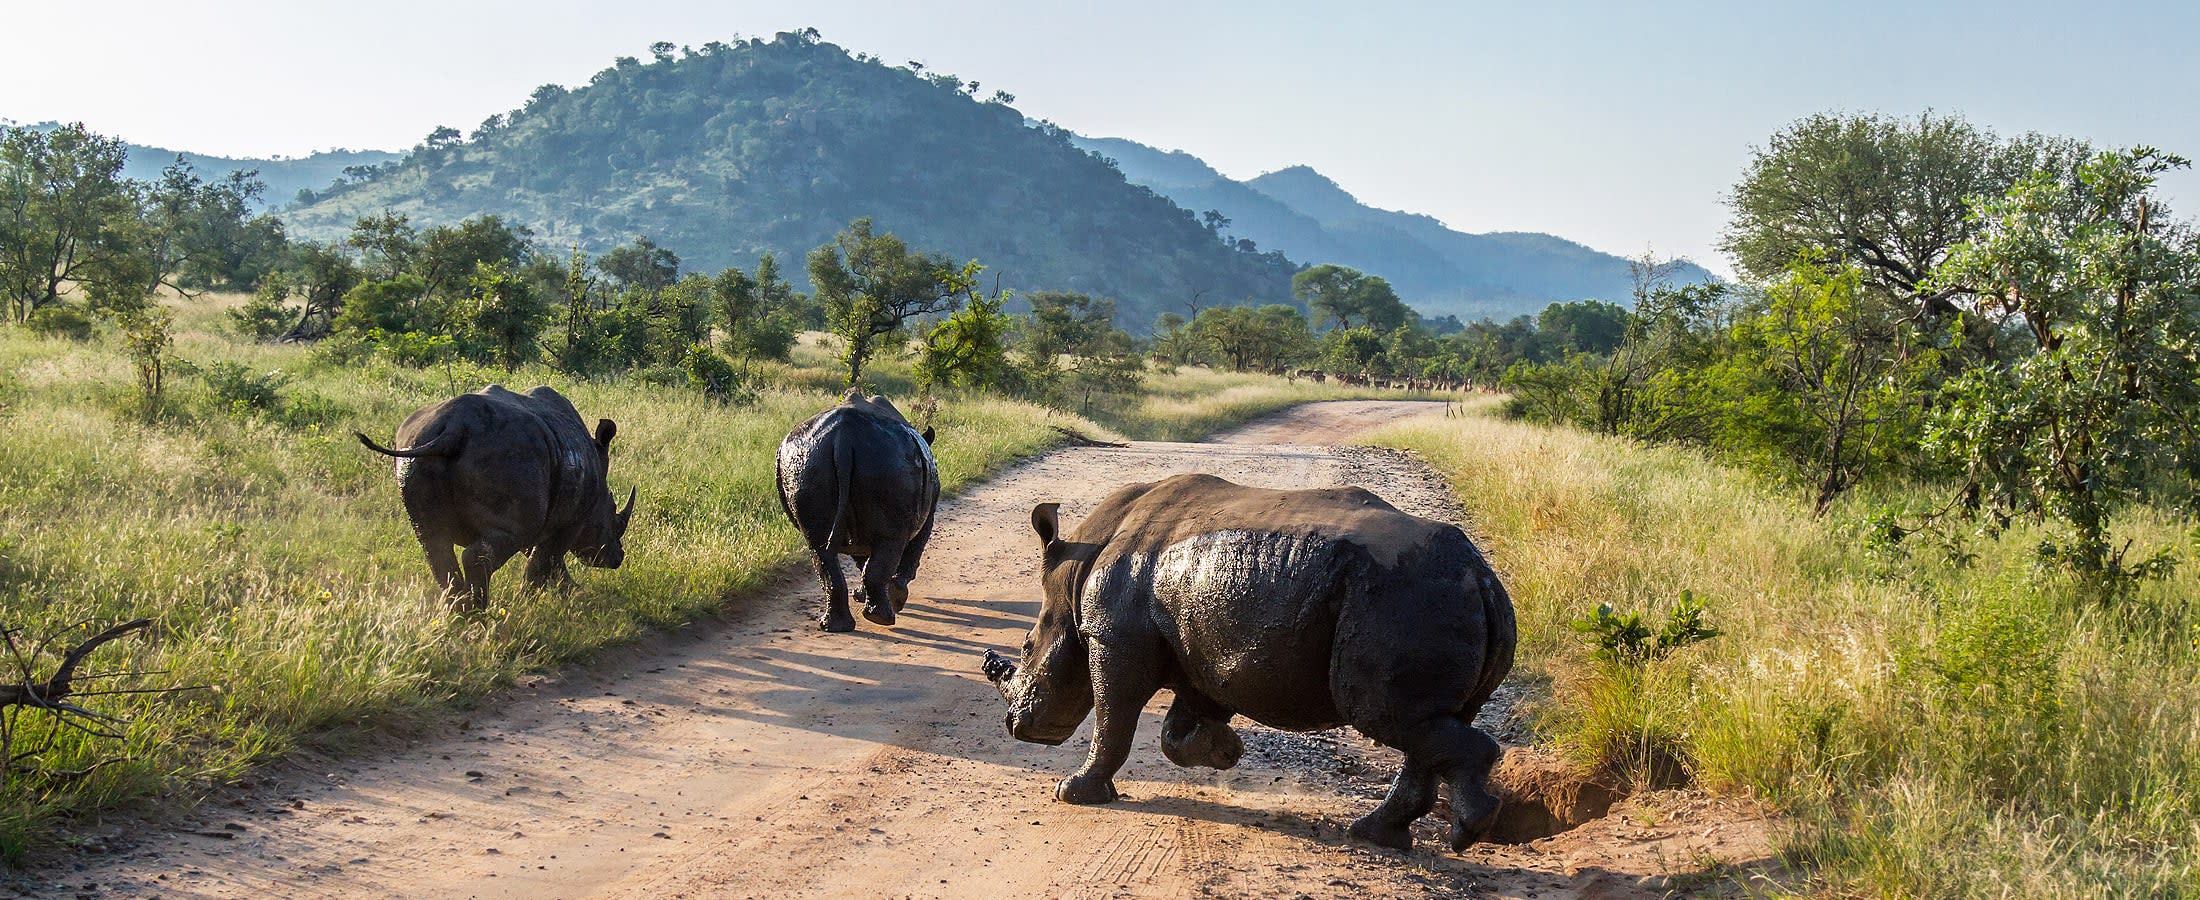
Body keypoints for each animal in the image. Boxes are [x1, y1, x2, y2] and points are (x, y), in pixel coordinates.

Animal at [356, 385, 635, 610]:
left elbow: (539, 555)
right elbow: (548, 557)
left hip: (416, 449)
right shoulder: (572, 519)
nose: (617, 558)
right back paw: (477, 614)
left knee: (433, 541)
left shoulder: (539, 510)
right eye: (613, 514)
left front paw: (567, 592)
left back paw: (460, 612)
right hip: (510, 454)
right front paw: (534, 599)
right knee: (490, 544)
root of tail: (455, 427)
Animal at [776, 390, 939, 632]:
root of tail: (843, 437)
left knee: (818, 546)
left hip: (808, 460)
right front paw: (896, 595)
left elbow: (862, 559)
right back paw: (885, 616)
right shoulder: (928, 514)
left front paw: (862, 595)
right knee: (892, 540)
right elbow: (913, 550)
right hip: (887, 461)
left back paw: (837, 626)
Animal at [982, 473, 1515, 851]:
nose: (1016, 726)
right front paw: (1224, 751)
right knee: (1427, 724)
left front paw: (1073, 791)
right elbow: (1176, 729)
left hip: (1403, 602)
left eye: (1026, 649)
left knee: (1384, 715)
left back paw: (1467, 831)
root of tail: (1484, 579)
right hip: (1429, 601)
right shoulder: (1198, 650)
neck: (1074, 574)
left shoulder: (1114, 638)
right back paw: (1376, 835)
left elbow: (1113, 719)